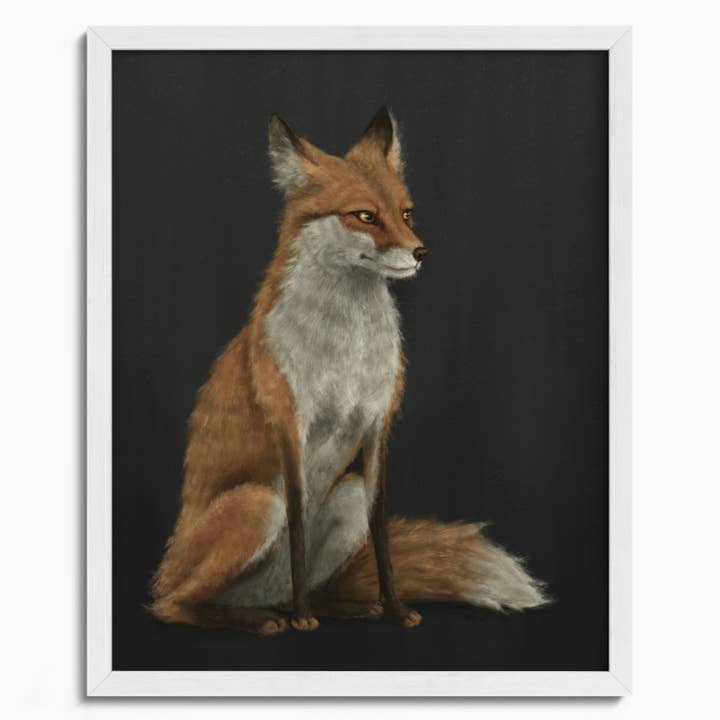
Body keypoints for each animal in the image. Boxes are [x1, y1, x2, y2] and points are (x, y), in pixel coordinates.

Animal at [150, 108, 547, 635]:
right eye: (364, 215)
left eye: (406, 213)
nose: (421, 252)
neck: (347, 349)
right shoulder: (291, 426)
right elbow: (298, 528)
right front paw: (304, 620)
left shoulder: (378, 425)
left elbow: (381, 535)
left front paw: (394, 609)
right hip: (257, 503)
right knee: (173, 604)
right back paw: (262, 618)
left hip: (347, 495)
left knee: (296, 587)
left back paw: (338, 607)